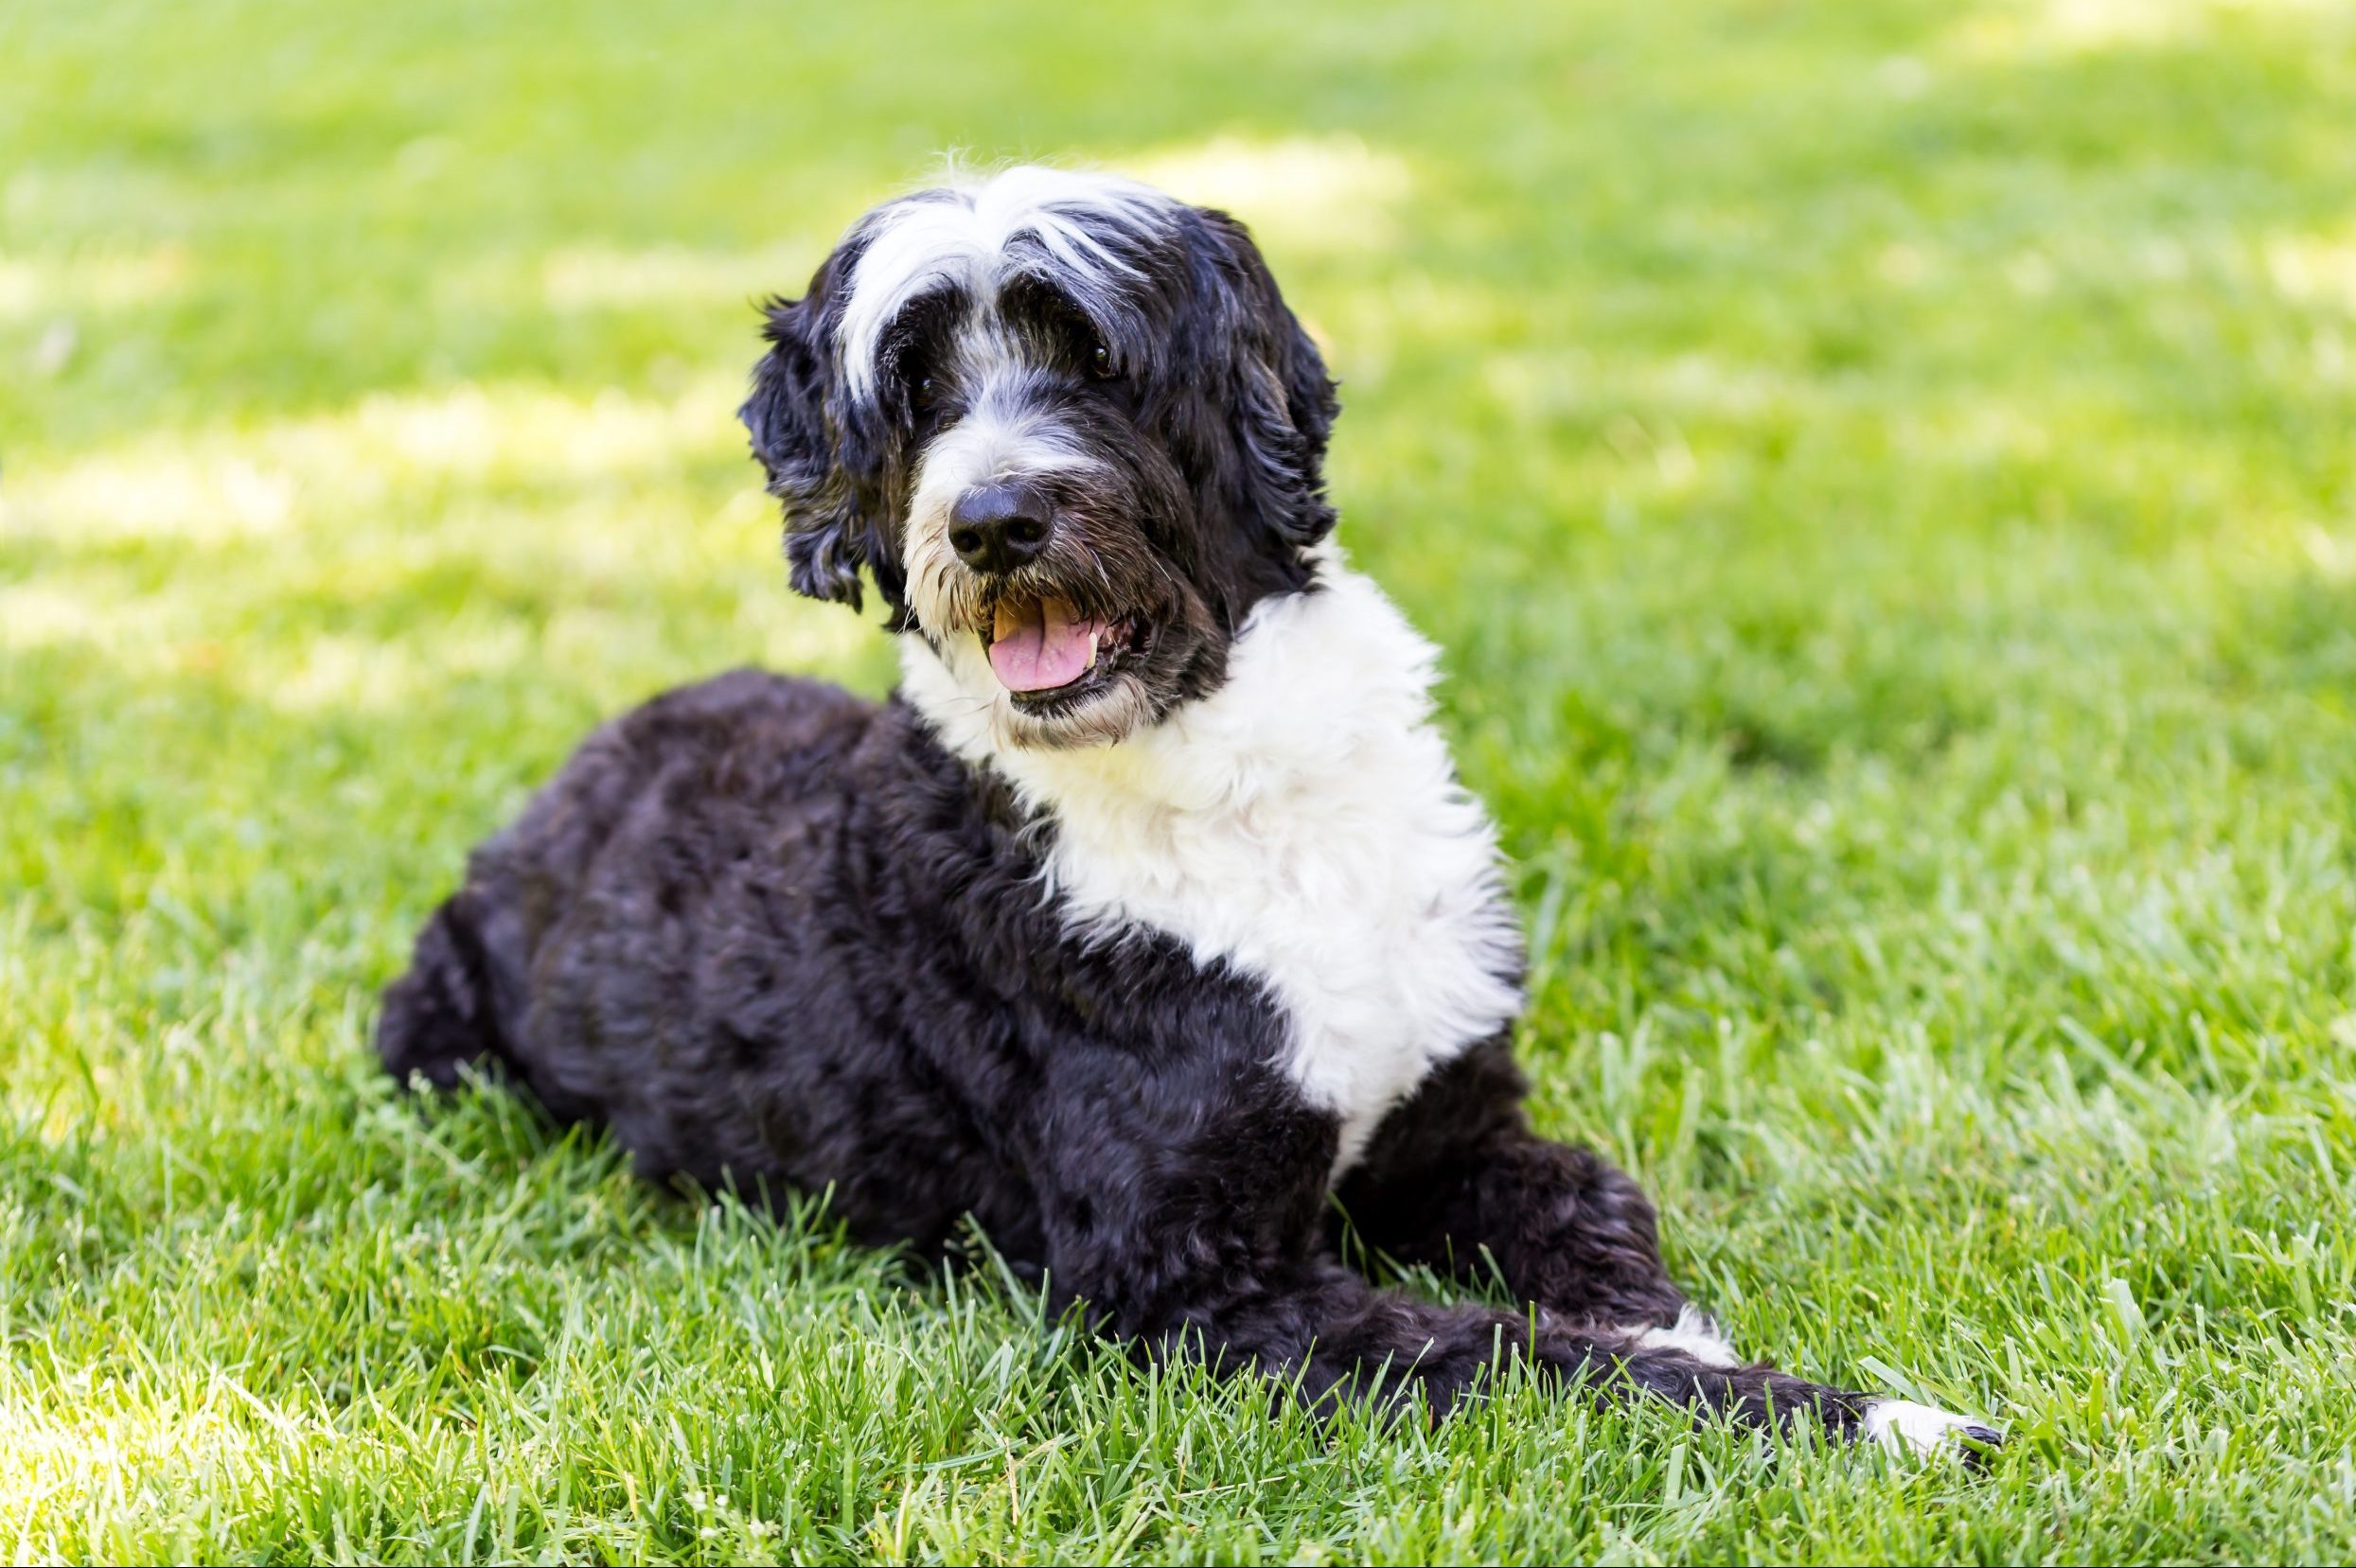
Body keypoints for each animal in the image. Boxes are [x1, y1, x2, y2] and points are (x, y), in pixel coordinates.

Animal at [377, 161, 1997, 1450]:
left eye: (1095, 360)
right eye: (915, 392)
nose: (992, 520)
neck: (1233, 793)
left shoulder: (1459, 1125)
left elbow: (1600, 1229)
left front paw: (1678, 1325)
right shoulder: (1195, 1288)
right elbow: (1540, 1361)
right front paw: (1875, 1420)